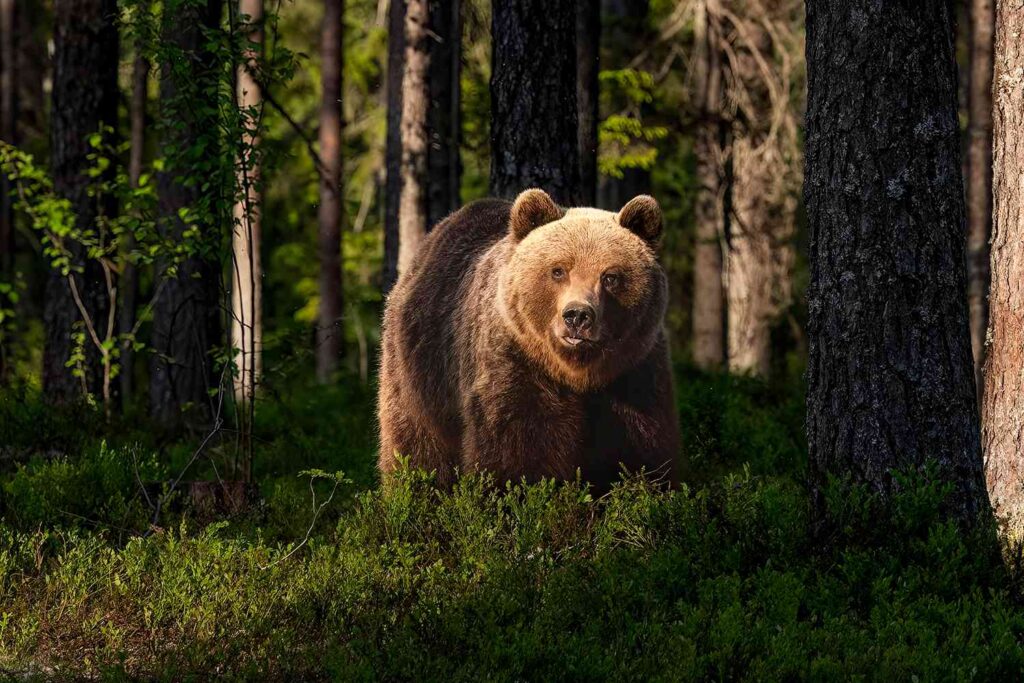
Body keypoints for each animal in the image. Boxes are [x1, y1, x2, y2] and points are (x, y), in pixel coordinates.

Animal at [376, 184, 679, 489]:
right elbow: (518, 448)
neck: (576, 372)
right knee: (416, 444)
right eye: (558, 270)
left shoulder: (634, 369)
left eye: (610, 277)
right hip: (420, 368)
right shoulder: (515, 363)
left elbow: (644, 447)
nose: (577, 315)